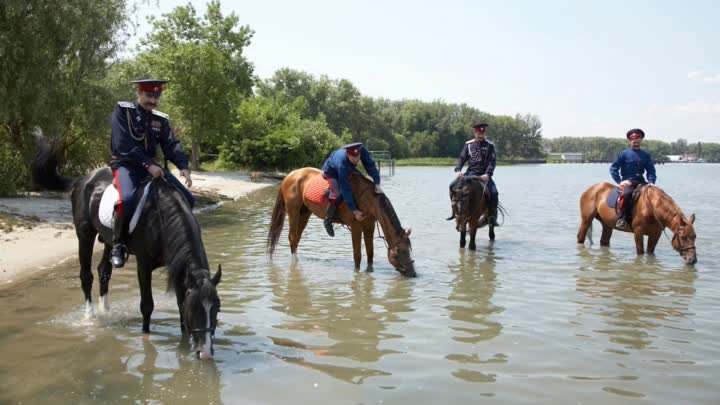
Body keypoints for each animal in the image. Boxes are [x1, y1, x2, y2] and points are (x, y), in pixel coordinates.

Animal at [34, 140, 219, 358]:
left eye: (216, 309)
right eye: (196, 309)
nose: (205, 353)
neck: (161, 219)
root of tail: (84, 179)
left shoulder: (179, 266)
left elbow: (180, 303)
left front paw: (184, 346)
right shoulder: (143, 265)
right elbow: (147, 305)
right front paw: (146, 337)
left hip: (108, 240)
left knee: (104, 272)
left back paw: (106, 311)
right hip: (84, 234)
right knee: (86, 276)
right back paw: (90, 316)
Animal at [266, 166, 416, 276]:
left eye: (409, 249)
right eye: (401, 251)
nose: (412, 273)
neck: (366, 198)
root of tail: (289, 176)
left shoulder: (369, 226)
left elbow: (370, 253)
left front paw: (369, 271)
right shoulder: (356, 227)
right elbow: (357, 255)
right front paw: (357, 274)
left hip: (304, 213)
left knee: (296, 238)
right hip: (293, 212)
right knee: (292, 238)